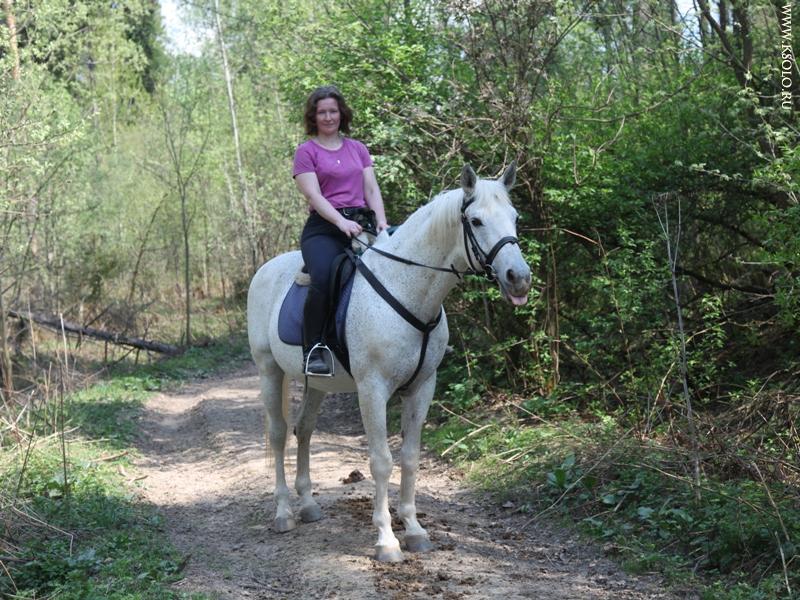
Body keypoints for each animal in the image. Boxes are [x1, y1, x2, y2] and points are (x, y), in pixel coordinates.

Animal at [246, 162, 531, 562]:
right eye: (475, 221)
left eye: (515, 217)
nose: (519, 279)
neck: (407, 287)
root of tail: (265, 269)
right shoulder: (373, 389)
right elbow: (381, 461)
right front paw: (386, 540)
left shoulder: (423, 387)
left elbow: (410, 458)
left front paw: (413, 530)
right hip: (268, 370)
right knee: (278, 434)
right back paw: (284, 512)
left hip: (316, 382)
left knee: (304, 429)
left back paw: (308, 505)